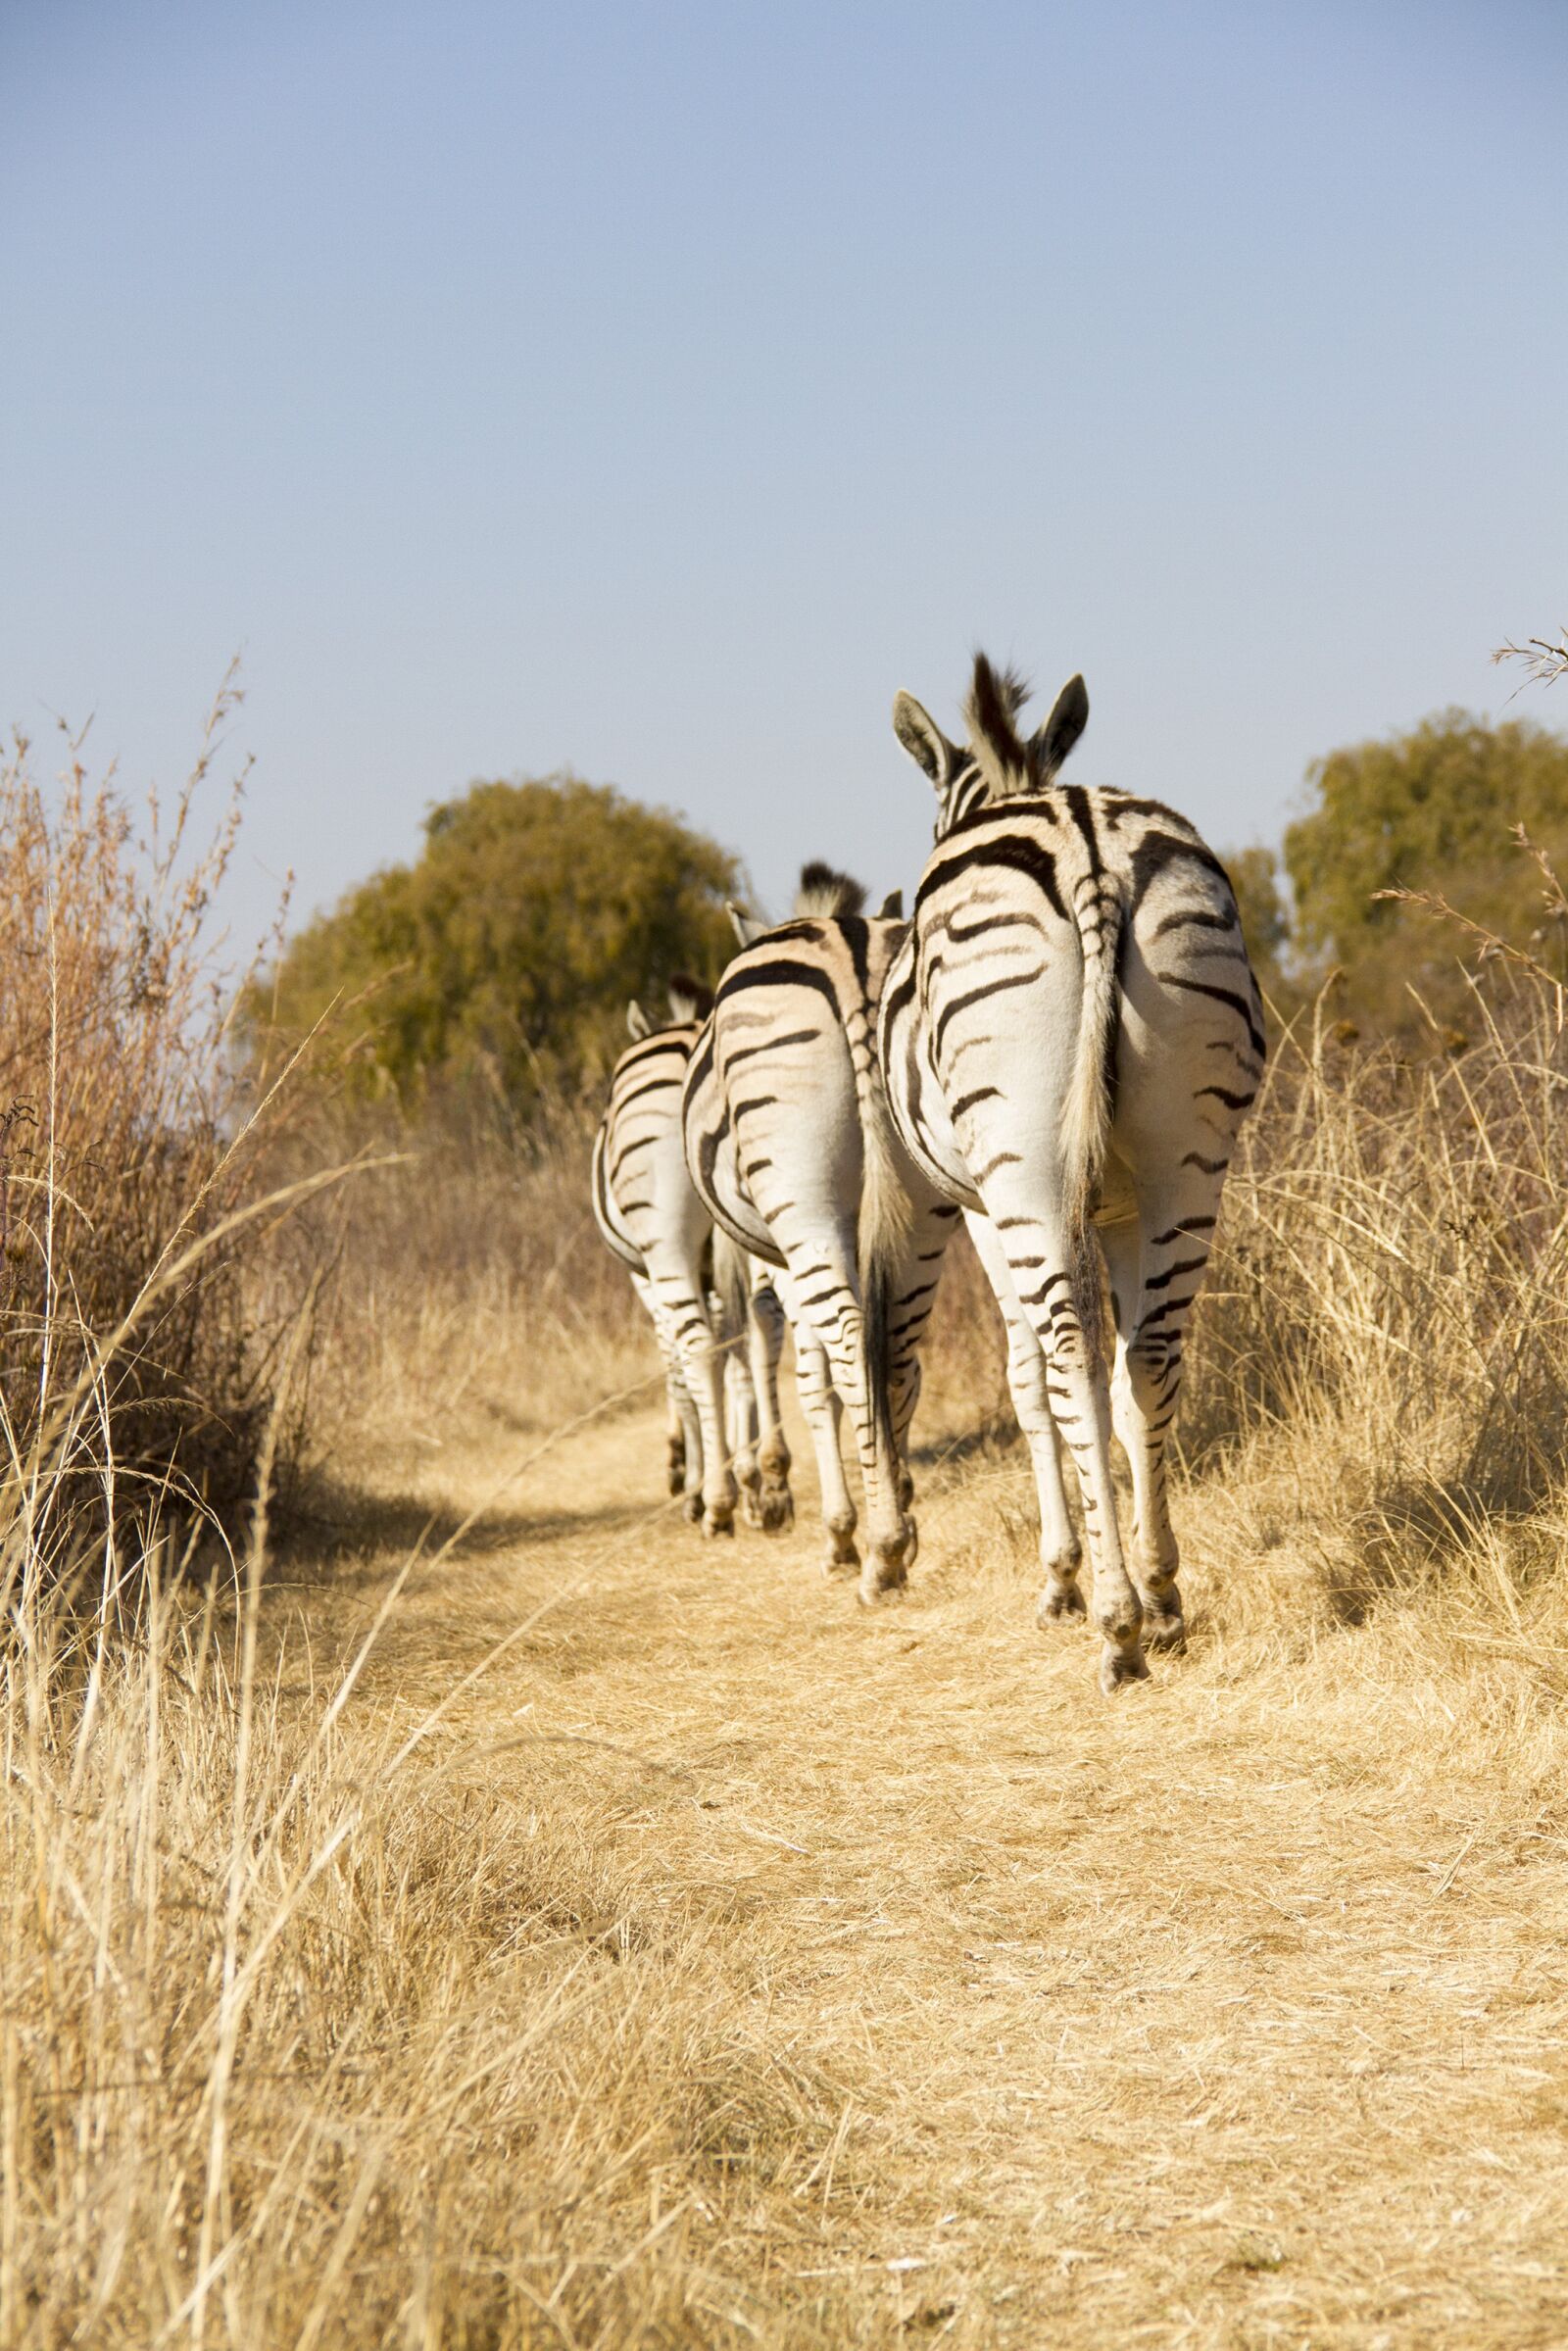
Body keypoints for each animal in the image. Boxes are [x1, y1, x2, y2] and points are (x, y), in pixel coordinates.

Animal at [592, 976, 791, 1534]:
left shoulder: (646, 1279)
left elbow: (679, 1368)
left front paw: (690, 1474)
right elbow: (735, 1356)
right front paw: (750, 1480)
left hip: (667, 1245)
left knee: (698, 1349)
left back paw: (716, 1501)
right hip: (759, 1215)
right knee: (764, 1323)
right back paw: (770, 1481)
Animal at [683, 863, 958, 1600]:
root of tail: (847, 954)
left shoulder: (777, 1260)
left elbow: (806, 1379)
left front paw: (834, 1529)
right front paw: (897, 1490)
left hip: (799, 1199)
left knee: (849, 1346)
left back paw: (880, 1552)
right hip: (922, 1198)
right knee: (895, 1350)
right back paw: (895, 1524)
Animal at [880, 653, 1264, 1691]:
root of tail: (1088, 847)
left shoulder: (981, 1208)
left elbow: (1026, 1380)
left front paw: (1058, 1575)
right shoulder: (1123, 1206)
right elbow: (1126, 1380)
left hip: (1024, 1166)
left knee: (1066, 1356)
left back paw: (1115, 1622)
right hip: (1186, 1156)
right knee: (1151, 1357)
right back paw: (1162, 1592)